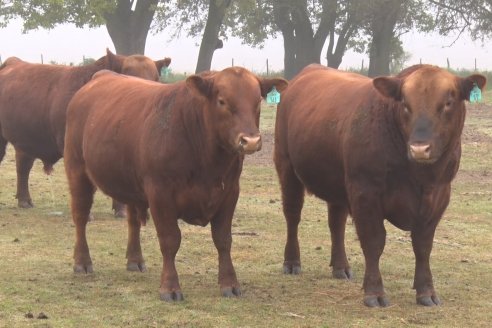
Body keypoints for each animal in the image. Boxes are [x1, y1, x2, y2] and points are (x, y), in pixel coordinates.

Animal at [64, 68, 290, 302]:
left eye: (257, 101)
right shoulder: (160, 193)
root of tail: (101, 75)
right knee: (80, 216)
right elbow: (170, 240)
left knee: (133, 221)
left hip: (132, 187)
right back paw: (82, 262)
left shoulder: (229, 192)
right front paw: (170, 287)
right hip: (77, 170)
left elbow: (223, 239)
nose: (251, 141)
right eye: (222, 101)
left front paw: (230, 284)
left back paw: (135, 260)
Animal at [274, 63, 486, 308]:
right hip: (287, 166)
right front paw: (374, 292)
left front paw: (427, 292)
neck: (419, 176)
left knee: (336, 222)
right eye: (404, 103)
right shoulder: (365, 193)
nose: (419, 148)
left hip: (338, 184)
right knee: (292, 215)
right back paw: (292, 262)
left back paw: (341, 267)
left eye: (448, 102)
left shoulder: (439, 197)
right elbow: (374, 242)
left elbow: (423, 246)